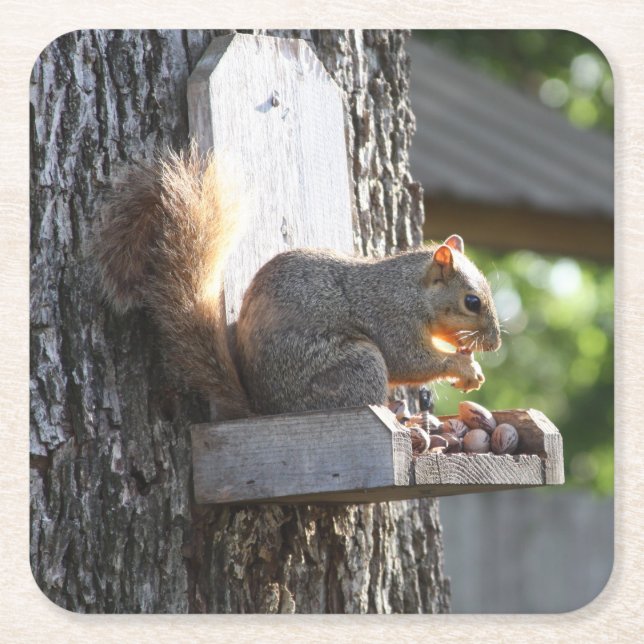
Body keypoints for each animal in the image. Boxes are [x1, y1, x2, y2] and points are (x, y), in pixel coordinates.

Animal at [96, 146, 501, 420]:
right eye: (472, 302)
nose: (494, 344)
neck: (414, 291)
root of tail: (265, 409)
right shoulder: (390, 316)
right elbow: (410, 360)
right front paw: (464, 366)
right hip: (355, 365)